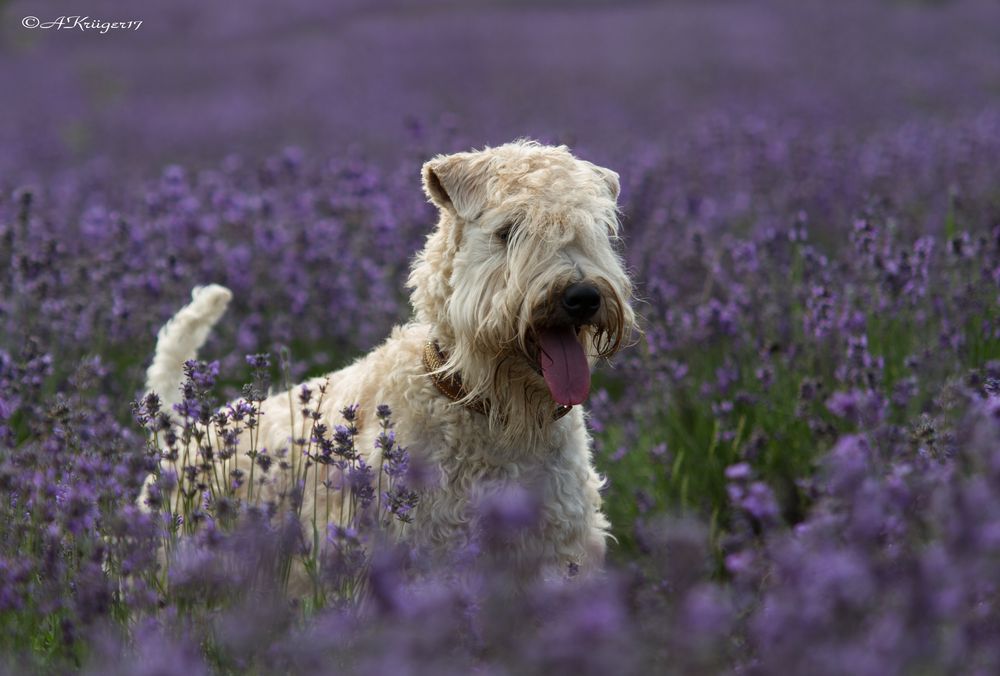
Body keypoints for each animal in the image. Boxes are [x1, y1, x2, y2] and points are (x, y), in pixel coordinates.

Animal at [146, 140, 636, 580]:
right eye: (508, 230)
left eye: (595, 229)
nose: (582, 297)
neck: (488, 411)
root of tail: (183, 424)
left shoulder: (559, 549)